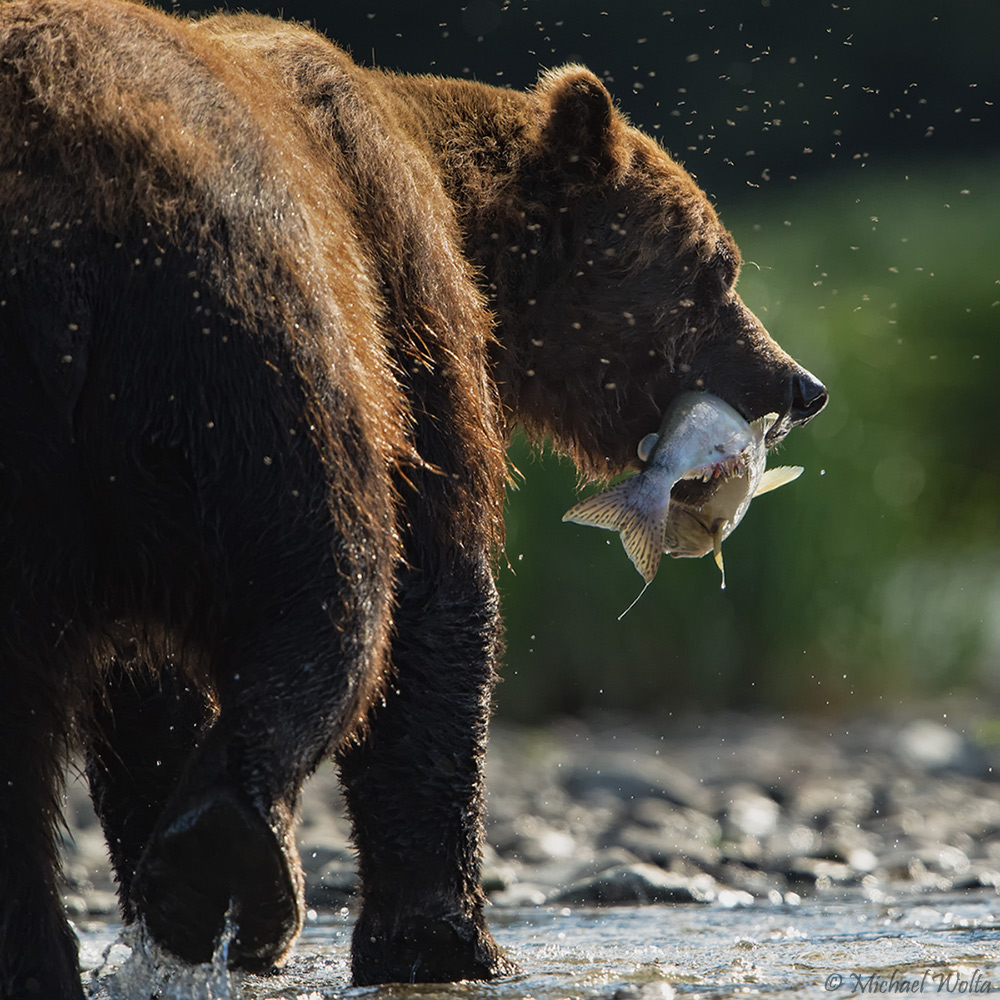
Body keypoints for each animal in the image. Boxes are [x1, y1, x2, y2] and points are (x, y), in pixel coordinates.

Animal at [0, 1, 828, 992]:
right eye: (716, 269)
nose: (800, 385)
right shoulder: (406, 307)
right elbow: (440, 600)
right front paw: (449, 938)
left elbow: (144, 686)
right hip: (236, 343)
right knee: (332, 589)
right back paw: (234, 860)